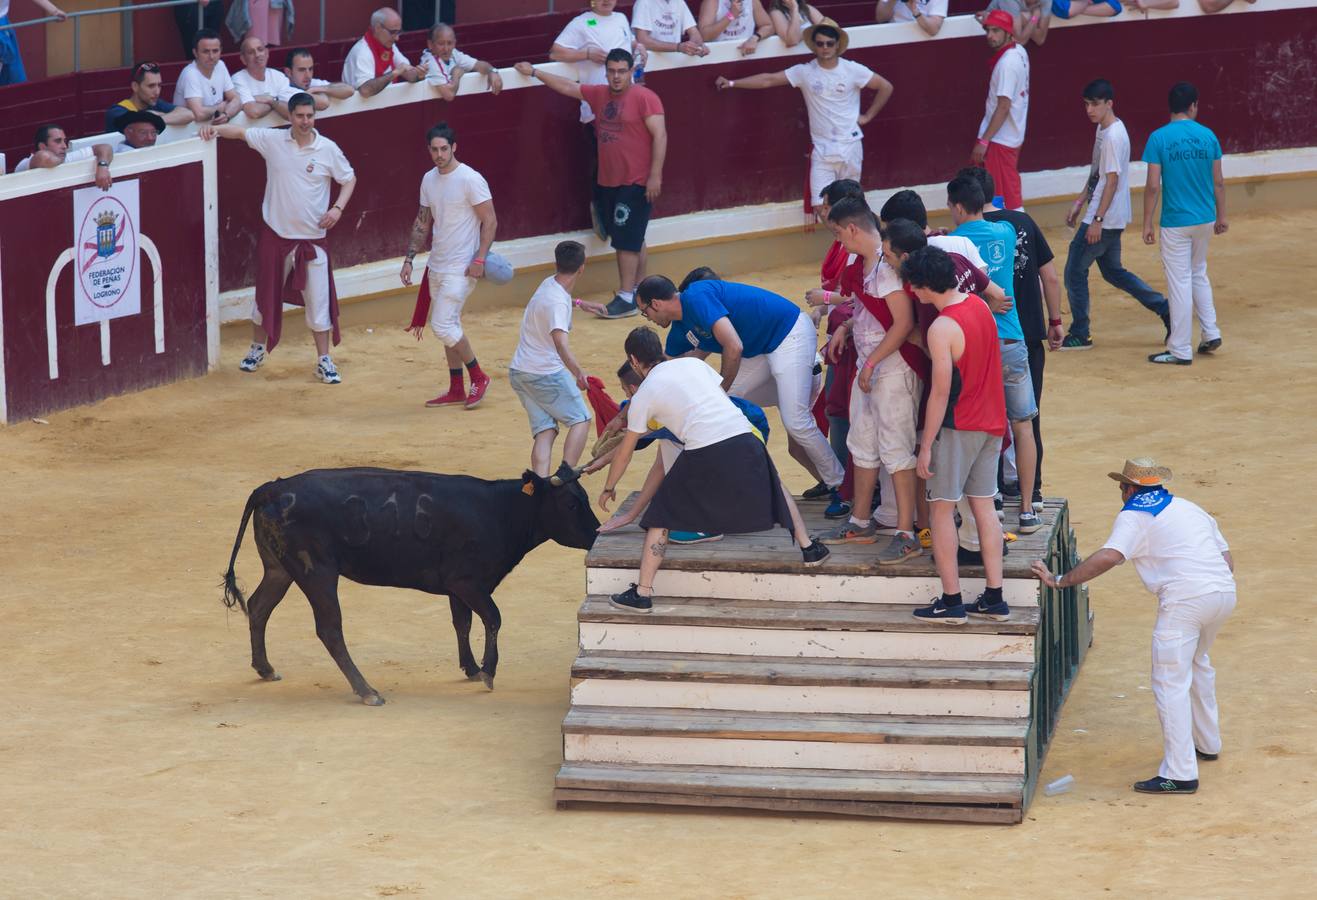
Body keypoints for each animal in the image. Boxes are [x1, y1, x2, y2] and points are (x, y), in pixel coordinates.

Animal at [223, 469, 600, 706]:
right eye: (571, 503)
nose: (597, 533)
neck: (500, 510)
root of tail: (272, 488)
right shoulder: (467, 581)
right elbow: (492, 618)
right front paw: (488, 672)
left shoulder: (456, 587)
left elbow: (462, 622)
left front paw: (471, 668)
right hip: (317, 572)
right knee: (329, 629)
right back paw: (367, 691)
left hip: (279, 569)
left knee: (259, 606)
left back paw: (266, 668)